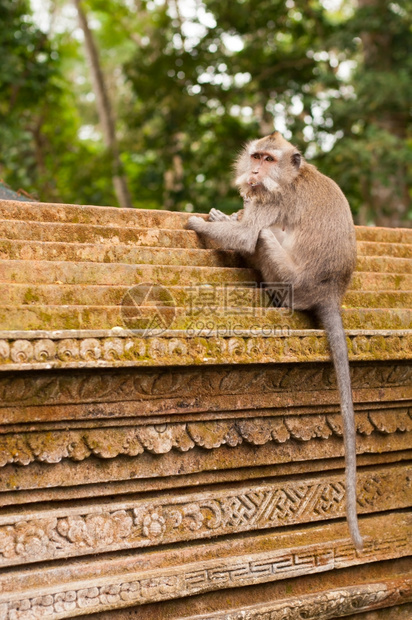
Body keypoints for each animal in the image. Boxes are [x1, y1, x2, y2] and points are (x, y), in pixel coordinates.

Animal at [188, 130, 362, 548]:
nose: (254, 172)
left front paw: (200, 222)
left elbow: (247, 233)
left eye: (268, 160)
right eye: (256, 156)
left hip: (288, 277)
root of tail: (330, 292)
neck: (290, 177)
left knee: (262, 236)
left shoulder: (272, 199)